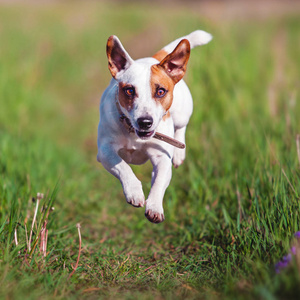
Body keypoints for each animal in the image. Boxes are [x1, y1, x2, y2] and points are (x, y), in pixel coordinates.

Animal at [97, 30, 212, 223]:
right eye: (129, 90)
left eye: (160, 91)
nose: (145, 121)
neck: (134, 134)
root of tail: (153, 58)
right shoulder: (105, 152)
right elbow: (123, 166)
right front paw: (134, 191)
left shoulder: (161, 157)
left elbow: (159, 182)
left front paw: (155, 207)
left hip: (182, 113)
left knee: (180, 129)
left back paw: (179, 153)